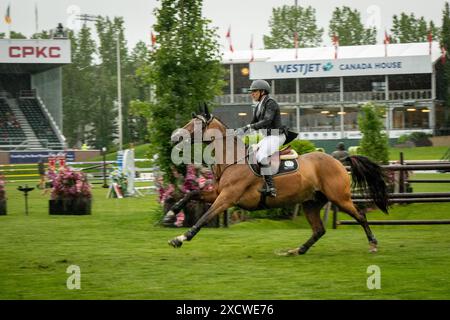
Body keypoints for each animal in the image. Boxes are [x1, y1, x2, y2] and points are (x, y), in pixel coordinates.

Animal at [167, 107, 388, 255]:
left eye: (196, 124)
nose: (174, 136)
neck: (233, 160)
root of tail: (339, 161)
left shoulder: (227, 198)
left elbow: (204, 217)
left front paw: (180, 238)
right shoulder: (217, 193)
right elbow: (192, 193)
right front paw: (171, 214)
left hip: (339, 198)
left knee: (360, 216)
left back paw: (373, 243)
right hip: (311, 202)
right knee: (319, 230)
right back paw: (297, 250)